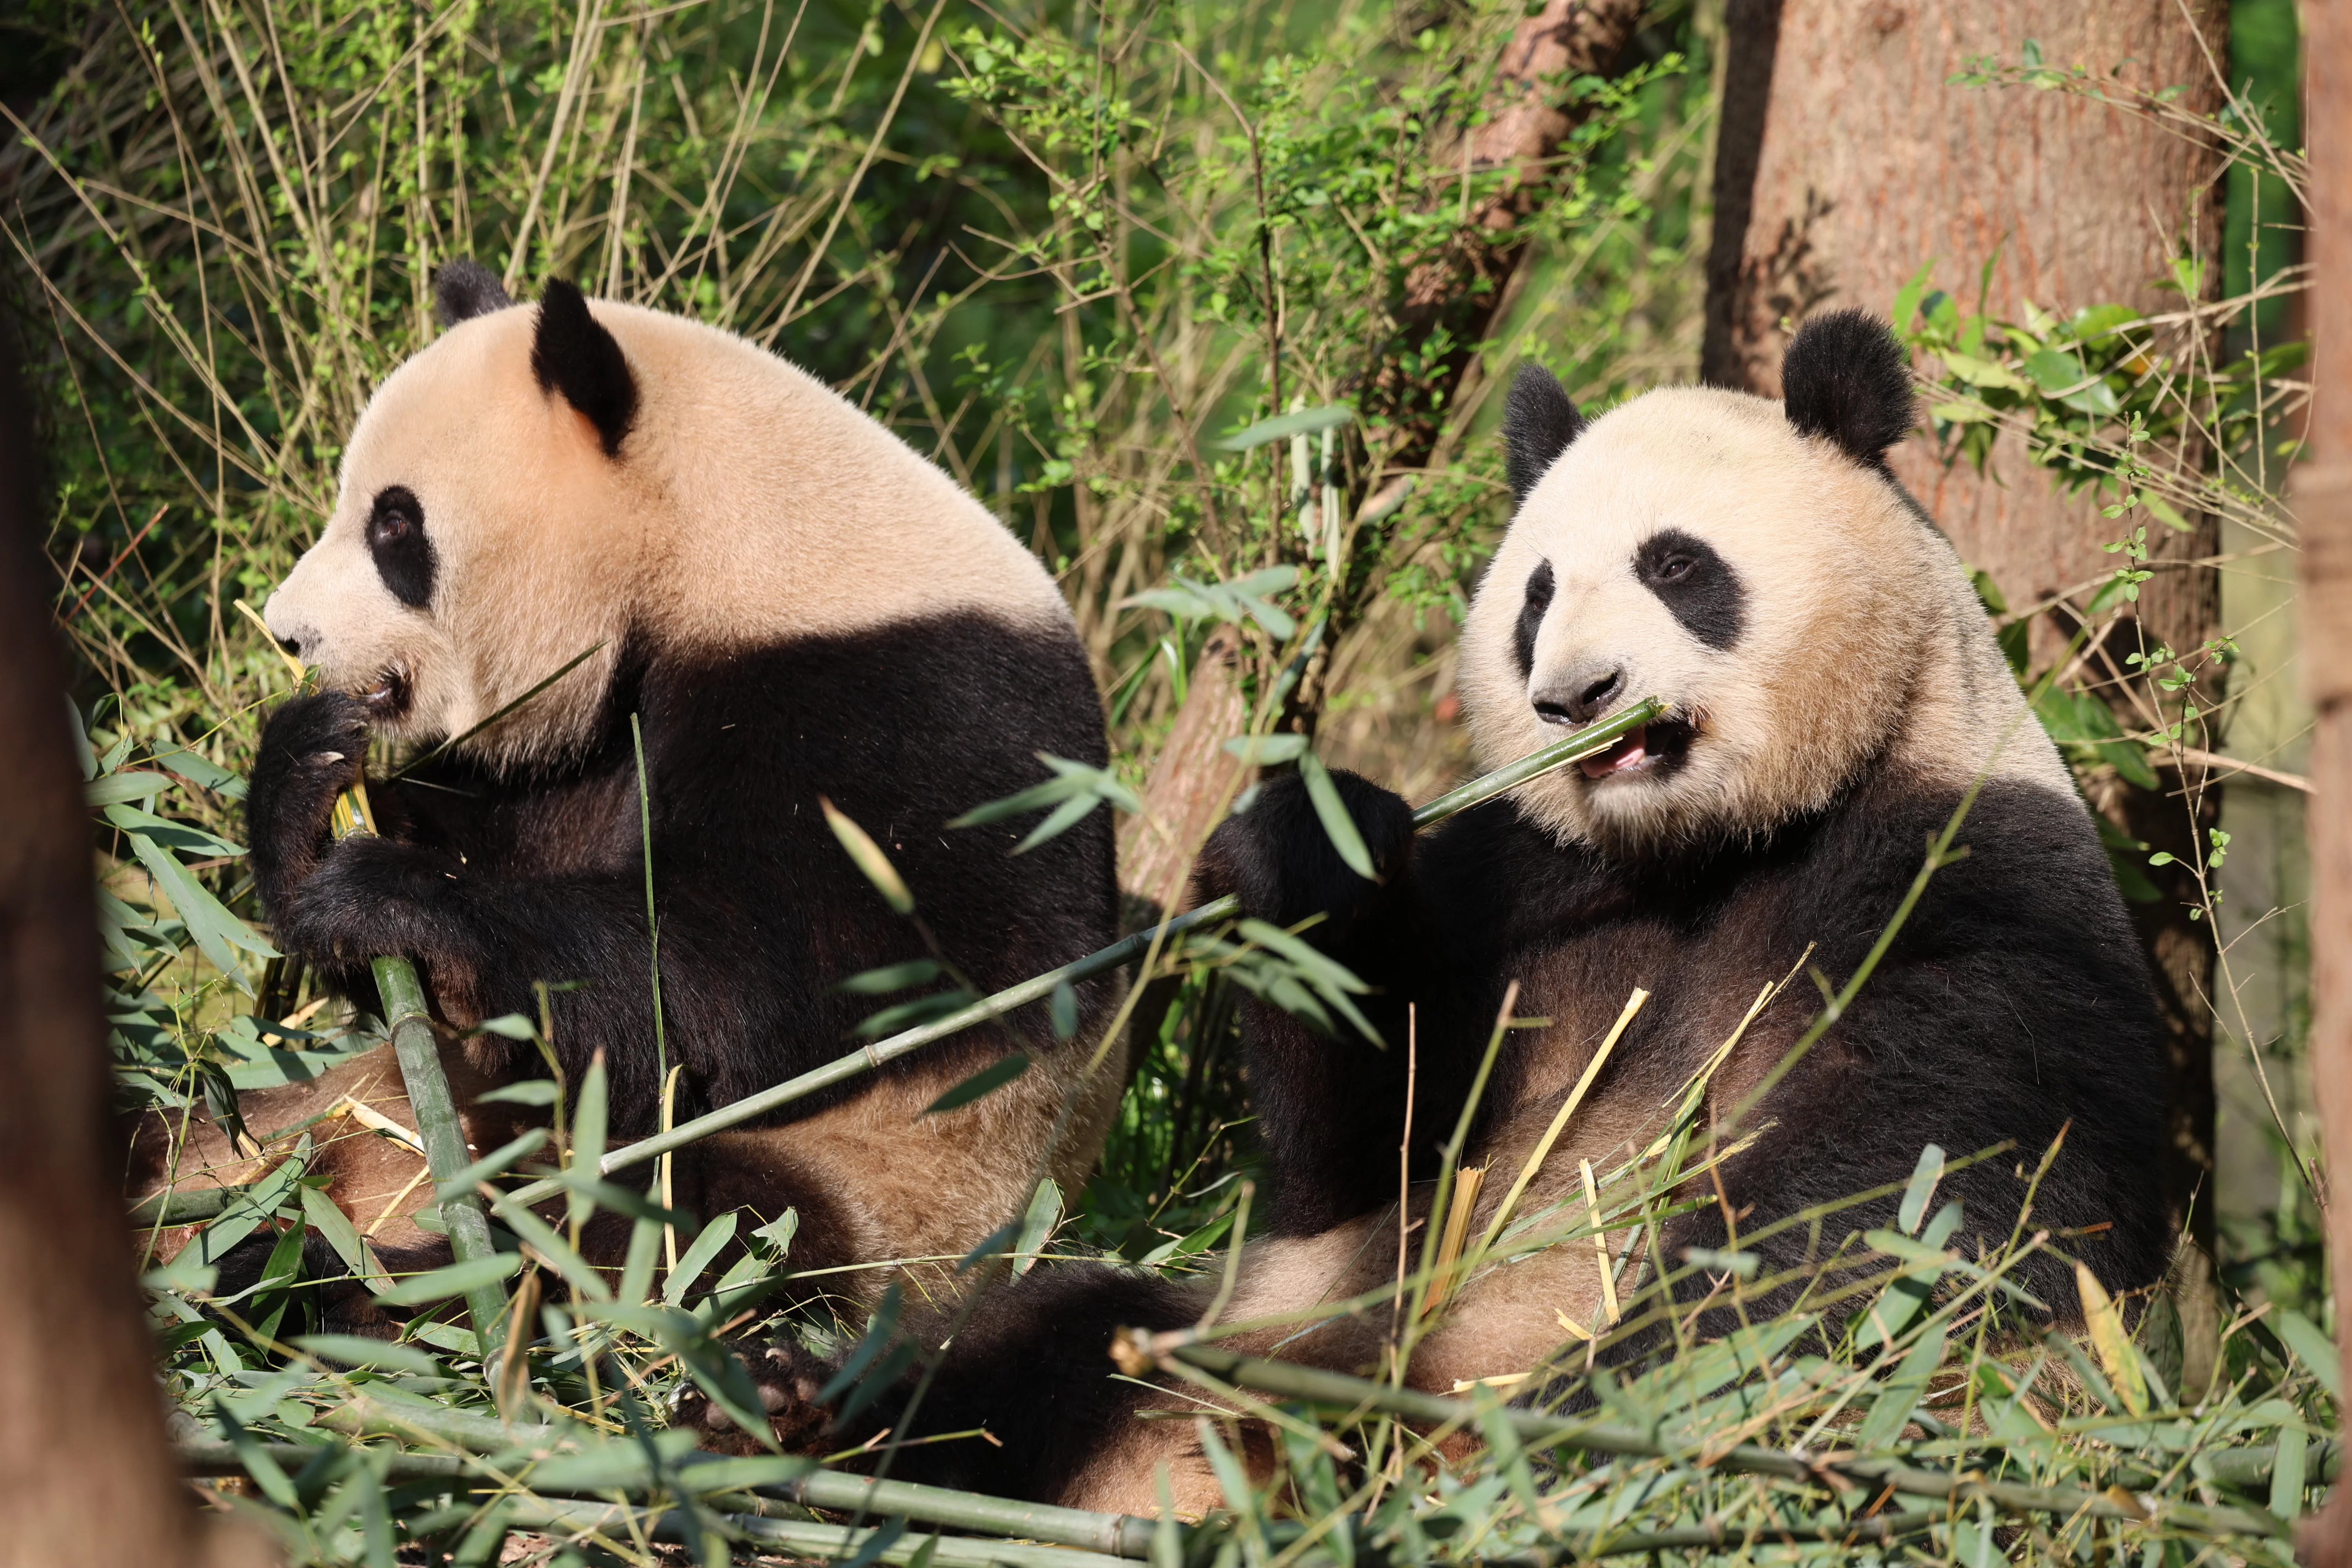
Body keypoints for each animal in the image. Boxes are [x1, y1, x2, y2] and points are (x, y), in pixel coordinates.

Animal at [127, 263, 1124, 1309]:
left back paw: (319, 1280)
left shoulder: (902, 720)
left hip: (902, 1195)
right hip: (313, 1107)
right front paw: (309, 784)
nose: (290, 631)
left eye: (395, 524)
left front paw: (383, 893)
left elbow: (732, 1002)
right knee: (184, 1123)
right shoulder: (584, 745)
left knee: (682, 1228)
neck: (728, 538)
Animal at [706, 309, 2170, 1515]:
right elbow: (1372, 1155)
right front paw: (1307, 850)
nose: (1577, 697)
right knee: (1045, 1343)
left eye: (1677, 566)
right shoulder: (1520, 882)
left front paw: (1617, 1405)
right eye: (1536, 592)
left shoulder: (1965, 871)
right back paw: (798, 1413)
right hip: (1250, 1332)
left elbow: (1906, 1200)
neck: (1701, 851)